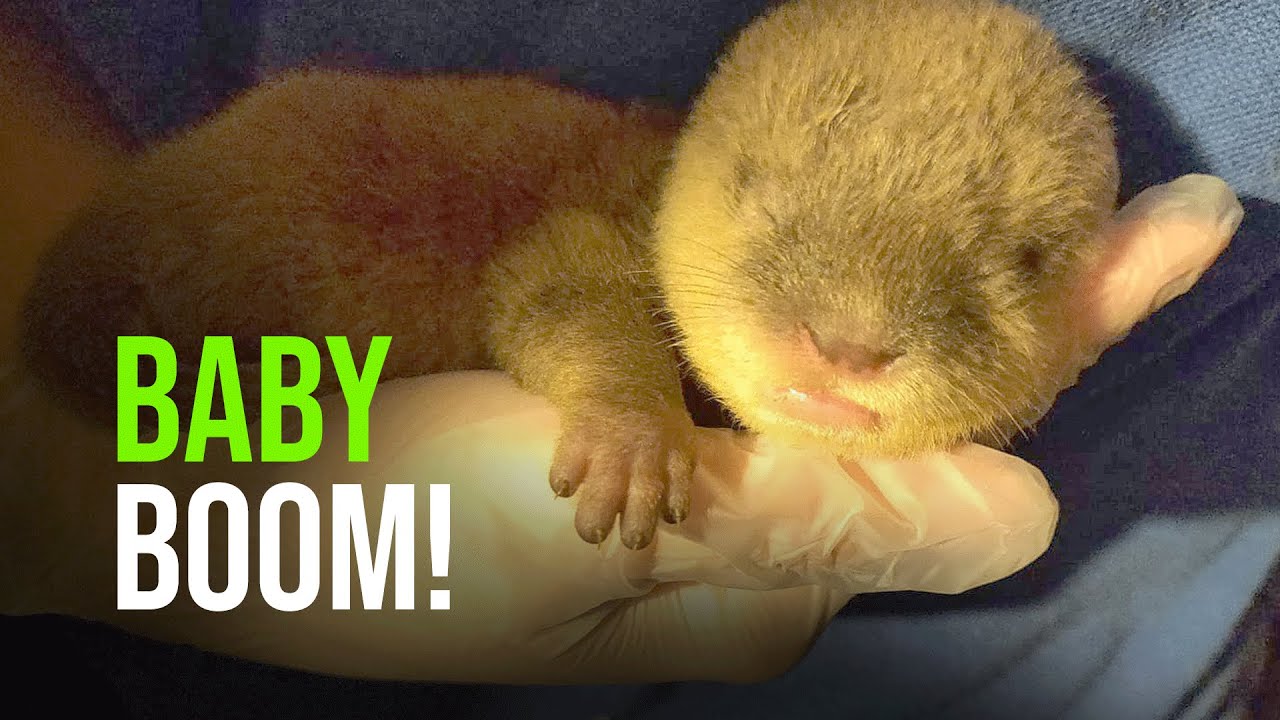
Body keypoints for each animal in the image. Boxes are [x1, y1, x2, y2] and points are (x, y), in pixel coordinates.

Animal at [20, 0, 1118, 550]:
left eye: (1017, 262)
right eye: (757, 187)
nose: (847, 343)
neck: (654, 188)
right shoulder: (580, 232)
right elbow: (562, 297)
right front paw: (633, 442)